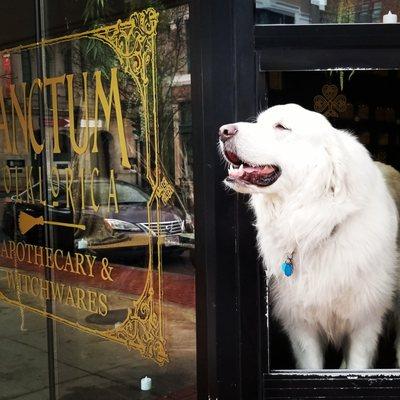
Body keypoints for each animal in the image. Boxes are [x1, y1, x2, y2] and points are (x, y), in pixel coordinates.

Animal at [220, 104, 398, 370]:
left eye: (281, 127)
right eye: (259, 121)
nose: (223, 131)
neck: (317, 225)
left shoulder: (364, 321)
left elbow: (357, 364)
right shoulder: (301, 326)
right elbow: (312, 365)